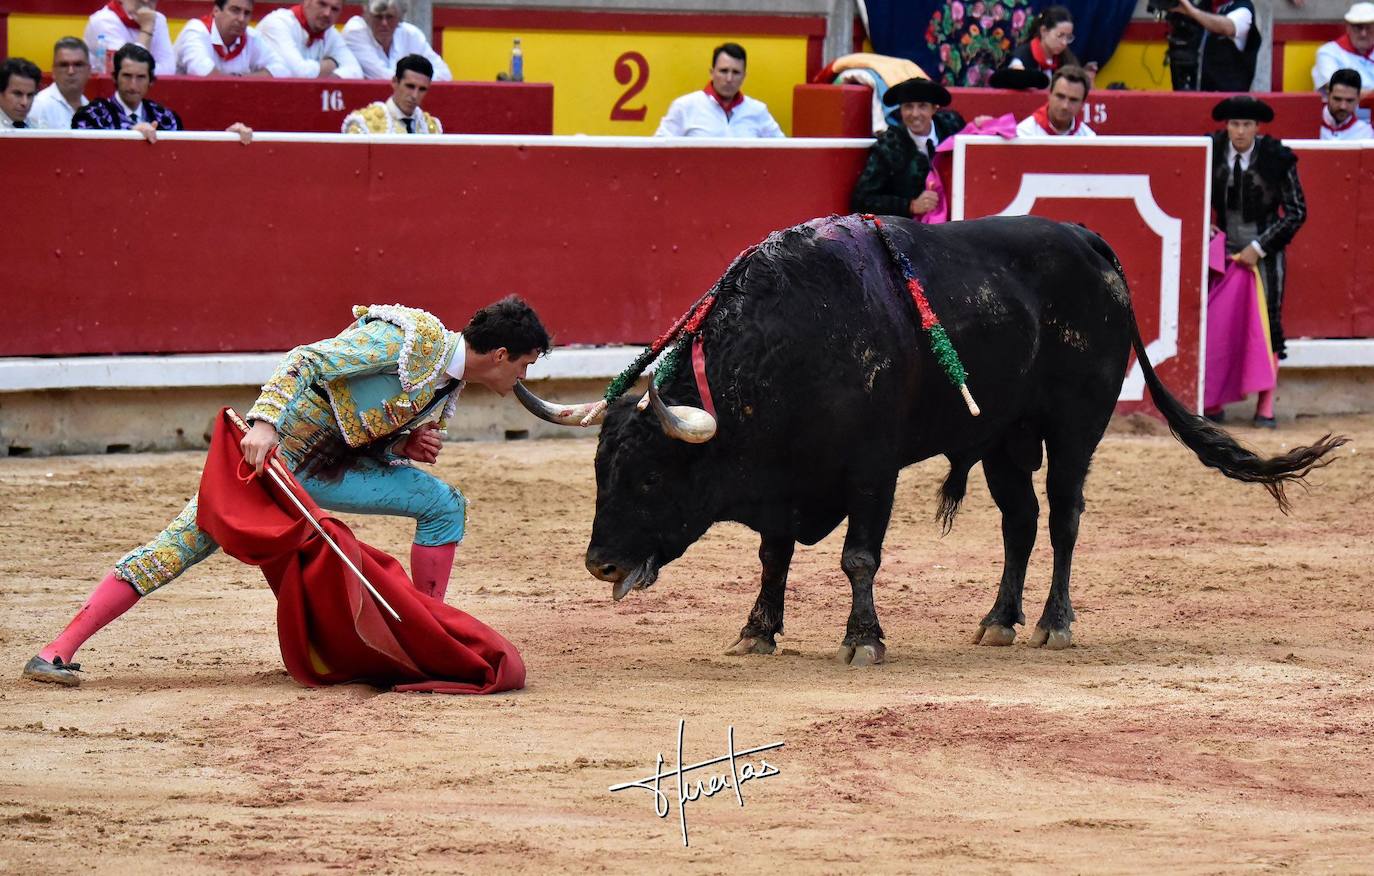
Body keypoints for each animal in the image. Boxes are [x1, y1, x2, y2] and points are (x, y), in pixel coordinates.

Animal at [516, 216, 1341, 670]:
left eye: (652, 478)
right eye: (600, 473)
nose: (600, 562)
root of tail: (1089, 242)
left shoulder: (871, 470)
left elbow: (857, 556)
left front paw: (863, 641)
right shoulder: (783, 480)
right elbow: (772, 556)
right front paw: (757, 631)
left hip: (1076, 424)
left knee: (1064, 516)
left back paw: (1054, 624)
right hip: (1006, 437)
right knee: (1020, 521)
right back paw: (998, 621)